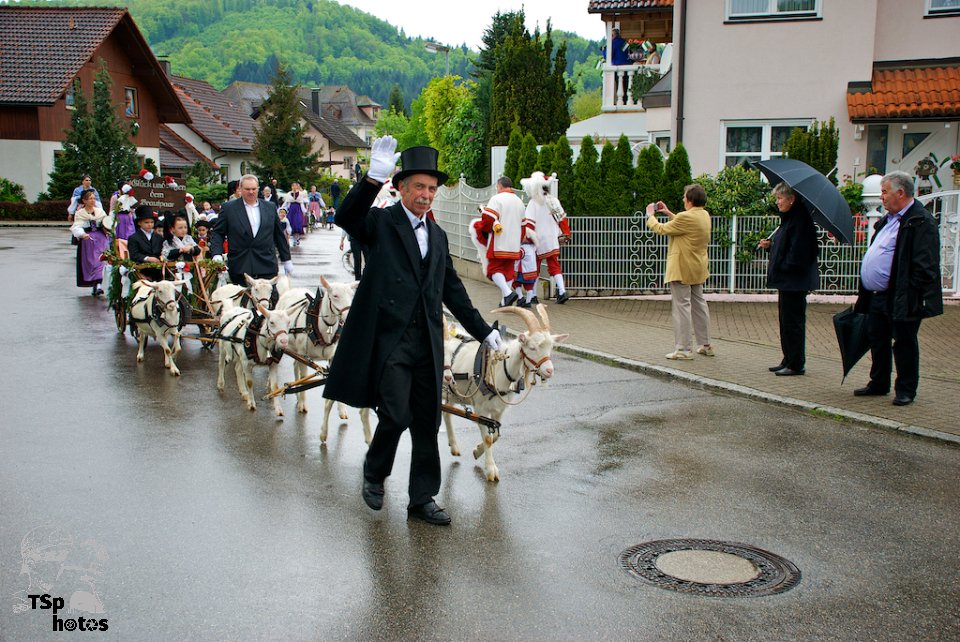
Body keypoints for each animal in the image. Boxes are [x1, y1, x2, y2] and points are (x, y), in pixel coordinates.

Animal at [276, 275, 372, 444]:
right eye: (335, 296)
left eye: (351, 295)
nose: (349, 316)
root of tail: (289, 291)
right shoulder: (304, 355)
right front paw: (302, 403)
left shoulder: (333, 357)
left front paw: (342, 409)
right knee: (297, 368)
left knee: (295, 365)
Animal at [443, 304, 567, 481]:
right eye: (532, 347)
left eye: (551, 348)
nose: (549, 371)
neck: (497, 368)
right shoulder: (481, 408)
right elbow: (488, 438)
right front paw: (491, 470)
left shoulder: (499, 409)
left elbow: (496, 436)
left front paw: (477, 451)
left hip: (452, 392)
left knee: (447, 413)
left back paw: (454, 446)